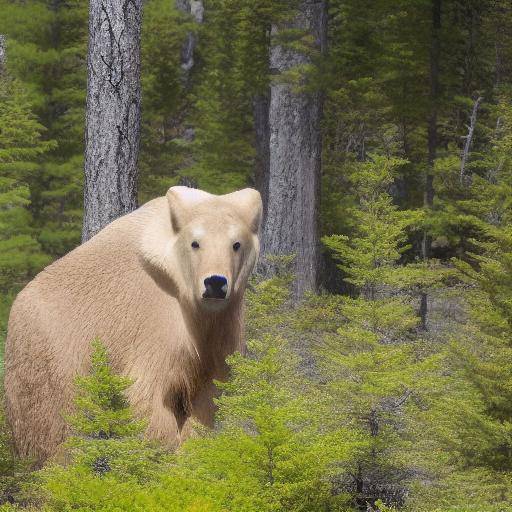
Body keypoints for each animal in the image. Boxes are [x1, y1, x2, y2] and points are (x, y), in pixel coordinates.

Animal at [3, 185, 260, 464]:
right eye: (195, 242)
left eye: (236, 244)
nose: (215, 282)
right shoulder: (155, 324)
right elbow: (145, 394)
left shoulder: (222, 329)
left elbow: (209, 397)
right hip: (50, 355)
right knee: (53, 421)